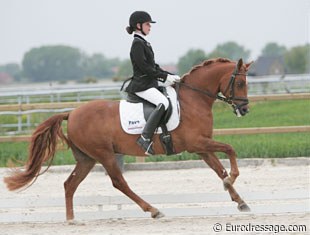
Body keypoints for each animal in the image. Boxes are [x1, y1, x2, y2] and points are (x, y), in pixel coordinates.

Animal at [3, 57, 253, 220]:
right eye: (240, 83)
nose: (244, 110)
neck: (193, 100)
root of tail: (71, 113)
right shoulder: (196, 144)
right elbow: (230, 149)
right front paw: (231, 180)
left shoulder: (201, 147)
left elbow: (219, 168)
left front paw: (240, 200)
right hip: (104, 154)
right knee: (119, 182)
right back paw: (153, 210)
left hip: (86, 158)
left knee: (70, 184)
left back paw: (71, 220)